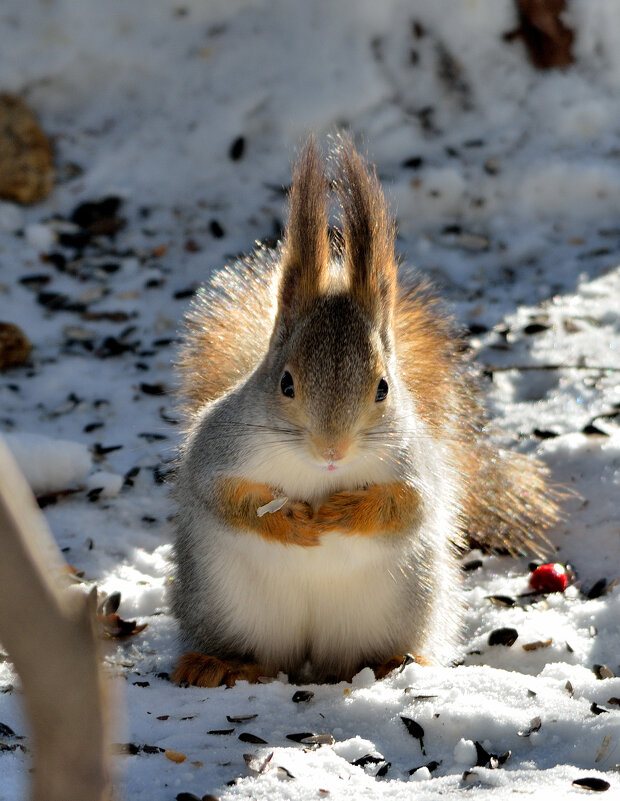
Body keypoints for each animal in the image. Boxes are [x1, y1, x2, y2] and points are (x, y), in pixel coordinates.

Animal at [167, 134, 560, 684]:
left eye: (383, 388)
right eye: (285, 382)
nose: (332, 451)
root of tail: (309, 660)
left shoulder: (417, 463)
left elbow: (411, 506)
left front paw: (347, 511)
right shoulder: (217, 449)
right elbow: (224, 498)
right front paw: (289, 520)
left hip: (401, 604)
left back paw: (393, 661)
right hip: (224, 605)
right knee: (254, 652)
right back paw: (221, 663)